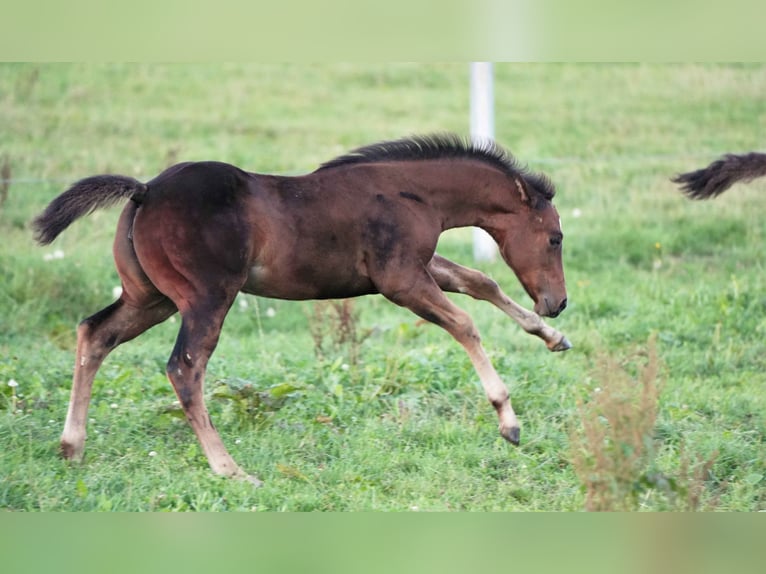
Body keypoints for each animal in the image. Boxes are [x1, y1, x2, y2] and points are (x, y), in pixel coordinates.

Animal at [33, 135, 568, 486]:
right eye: (555, 238)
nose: (558, 303)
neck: (411, 192)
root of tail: (144, 190)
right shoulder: (399, 280)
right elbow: (464, 322)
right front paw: (508, 421)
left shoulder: (415, 267)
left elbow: (480, 281)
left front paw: (552, 338)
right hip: (206, 298)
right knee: (184, 367)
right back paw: (230, 469)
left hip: (151, 298)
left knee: (94, 333)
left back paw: (71, 447)